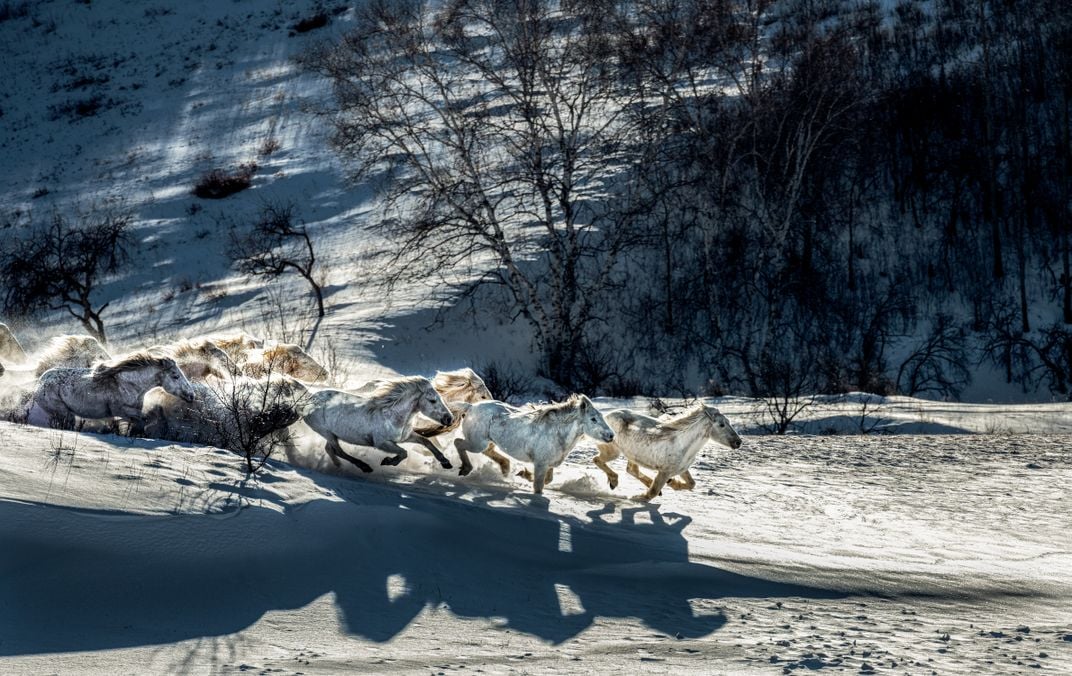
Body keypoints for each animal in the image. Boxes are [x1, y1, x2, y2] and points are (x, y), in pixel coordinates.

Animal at [31, 351, 197, 430]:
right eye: (175, 376)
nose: (191, 395)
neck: (129, 384)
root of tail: (40, 382)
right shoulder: (122, 411)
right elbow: (145, 420)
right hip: (63, 413)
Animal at [302, 379, 452, 473]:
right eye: (432, 400)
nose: (449, 418)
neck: (393, 415)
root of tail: (308, 401)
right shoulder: (381, 443)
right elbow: (404, 453)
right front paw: (388, 461)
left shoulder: (405, 437)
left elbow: (426, 441)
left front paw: (446, 462)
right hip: (326, 433)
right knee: (338, 451)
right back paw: (364, 467)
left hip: (332, 435)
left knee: (329, 449)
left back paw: (338, 466)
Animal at [456, 394, 617, 494]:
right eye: (593, 419)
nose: (611, 435)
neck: (557, 434)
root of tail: (470, 407)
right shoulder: (541, 463)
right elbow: (539, 487)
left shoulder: (549, 465)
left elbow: (548, 480)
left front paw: (524, 474)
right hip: (476, 443)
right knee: (458, 443)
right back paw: (465, 469)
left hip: (485, 443)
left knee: (488, 451)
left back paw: (505, 469)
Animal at [591, 402, 741, 503]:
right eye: (721, 425)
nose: (738, 442)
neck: (683, 444)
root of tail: (606, 416)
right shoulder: (664, 471)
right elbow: (652, 492)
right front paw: (637, 497)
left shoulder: (681, 469)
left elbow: (692, 484)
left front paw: (673, 483)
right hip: (613, 451)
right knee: (597, 460)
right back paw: (614, 481)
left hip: (633, 454)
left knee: (631, 469)